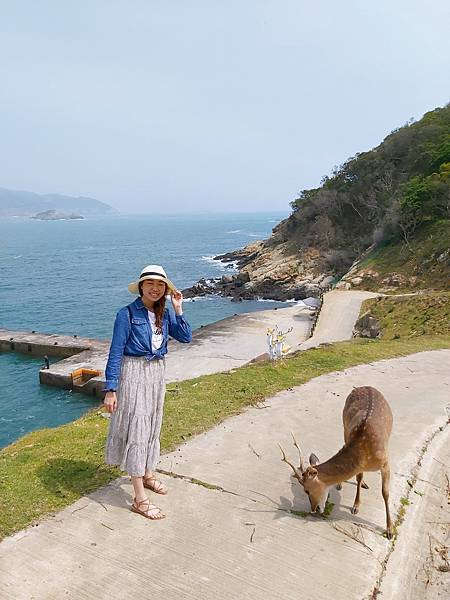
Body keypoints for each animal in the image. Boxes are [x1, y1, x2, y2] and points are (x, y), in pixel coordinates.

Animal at [280, 390, 392, 540]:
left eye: (307, 490)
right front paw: (356, 506)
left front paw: (389, 529)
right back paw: (342, 484)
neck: (365, 456)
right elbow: (359, 477)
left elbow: (385, 493)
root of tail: (365, 387)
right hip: (344, 426)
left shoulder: (386, 462)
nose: (314, 509)